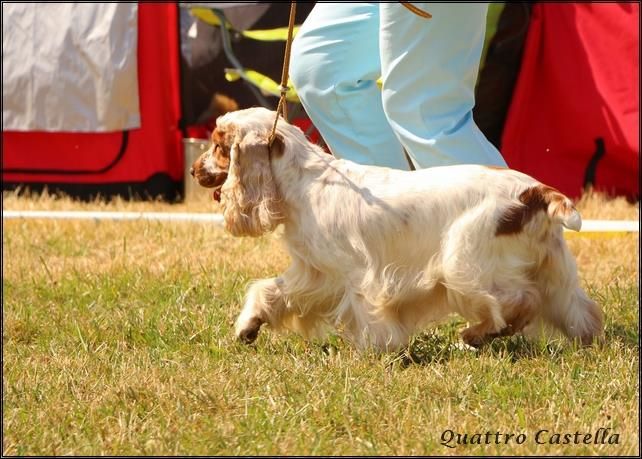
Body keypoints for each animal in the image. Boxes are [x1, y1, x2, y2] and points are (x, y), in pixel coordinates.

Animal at [189, 108, 600, 352]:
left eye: (219, 146)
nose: (193, 170)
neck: (303, 181)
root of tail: (536, 191)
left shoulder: (356, 272)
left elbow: (370, 315)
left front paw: (377, 351)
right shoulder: (316, 274)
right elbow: (271, 292)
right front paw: (248, 327)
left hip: (465, 261)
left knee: (518, 302)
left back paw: (474, 335)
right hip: (552, 267)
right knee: (578, 311)